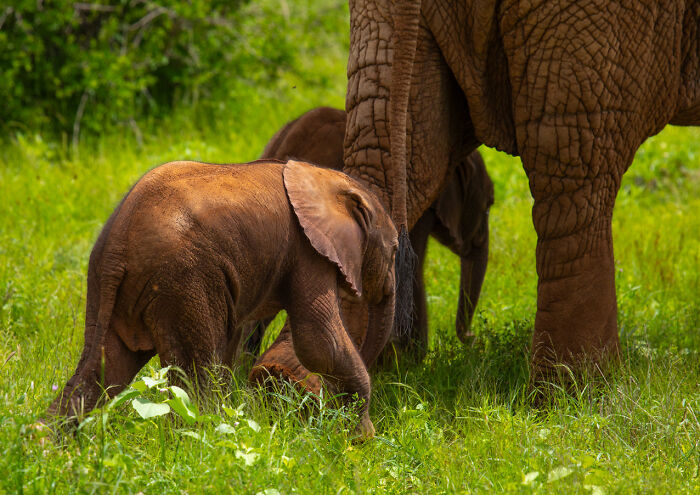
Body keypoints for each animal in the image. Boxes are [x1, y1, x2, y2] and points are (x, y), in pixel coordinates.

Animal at [48, 159, 398, 438]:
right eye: (395, 249)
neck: (326, 178)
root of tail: (118, 241)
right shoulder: (308, 252)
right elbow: (320, 343)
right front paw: (362, 438)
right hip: (183, 280)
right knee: (194, 375)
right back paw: (204, 444)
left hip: (112, 286)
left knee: (103, 369)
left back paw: (50, 448)